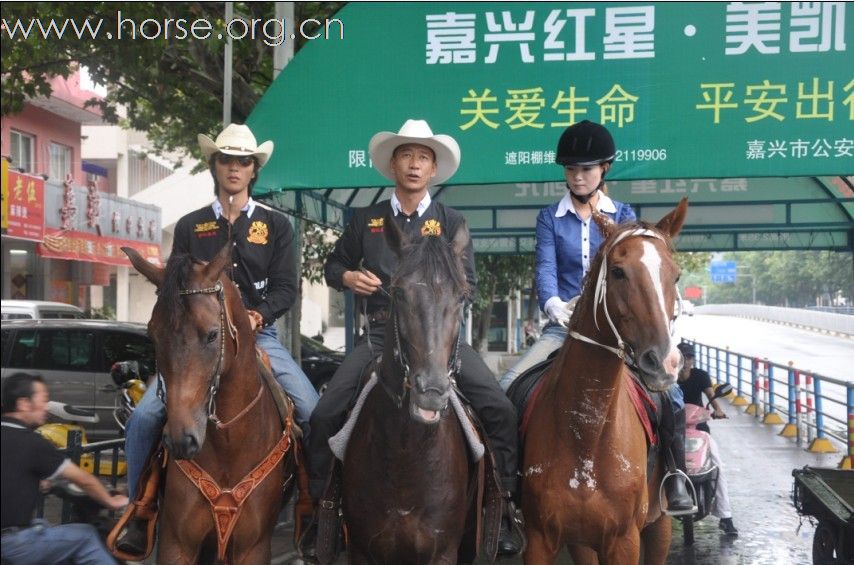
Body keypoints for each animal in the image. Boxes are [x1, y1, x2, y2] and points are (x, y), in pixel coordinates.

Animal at [123, 243, 298, 564]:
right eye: (152, 334)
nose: (181, 439)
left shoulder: (253, 547)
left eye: (213, 334)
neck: (230, 443)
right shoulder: (176, 543)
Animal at [344, 220, 484, 564]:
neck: (406, 451)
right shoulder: (361, 550)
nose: (431, 391)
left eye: (462, 297)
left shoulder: (444, 551)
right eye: (398, 292)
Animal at [520, 198, 688, 564]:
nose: (662, 362)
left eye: (676, 275)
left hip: (659, 525)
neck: (587, 432)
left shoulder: (625, 540)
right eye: (618, 272)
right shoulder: (540, 539)